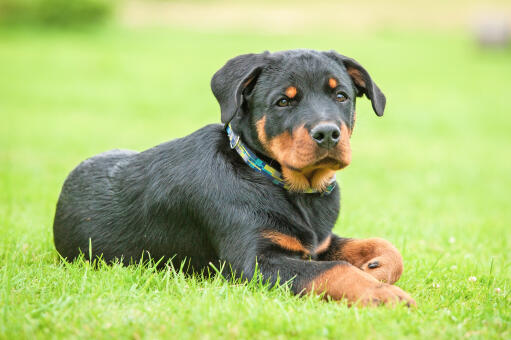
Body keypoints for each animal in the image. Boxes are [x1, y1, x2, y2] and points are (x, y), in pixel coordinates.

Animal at [54, 49, 418, 306]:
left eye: (341, 96)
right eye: (283, 102)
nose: (327, 133)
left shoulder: (318, 242)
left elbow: (383, 245)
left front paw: (377, 271)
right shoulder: (256, 262)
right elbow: (336, 270)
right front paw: (384, 295)